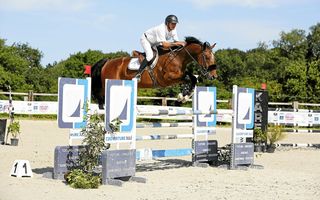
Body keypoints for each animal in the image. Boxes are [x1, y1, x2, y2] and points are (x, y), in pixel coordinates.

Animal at [90, 36, 218, 108]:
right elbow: (187, 77)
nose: (214, 76)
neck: (178, 58)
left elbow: (192, 77)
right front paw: (183, 95)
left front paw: (185, 96)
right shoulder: (167, 79)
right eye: (207, 57)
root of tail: (107, 61)